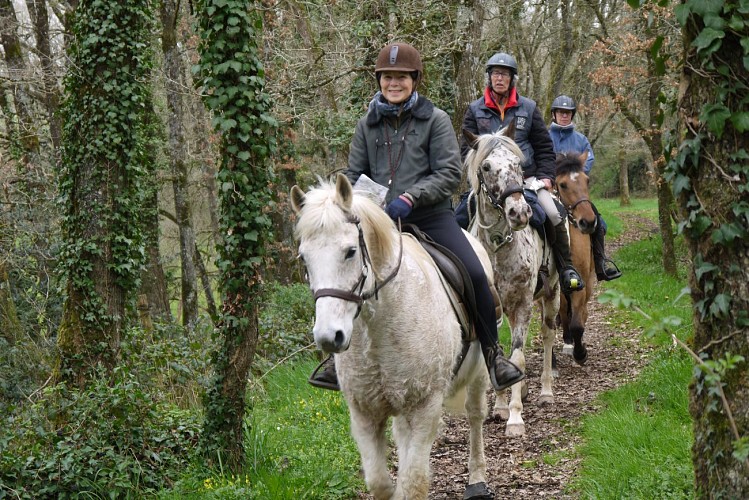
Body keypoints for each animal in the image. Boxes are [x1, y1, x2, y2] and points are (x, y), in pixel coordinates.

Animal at [290, 174, 495, 500]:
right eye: (304, 258)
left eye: (350, 251)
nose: (329, 337)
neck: (378, 329)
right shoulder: (364, 413)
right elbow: (380, 482)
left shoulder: (424, 408)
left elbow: (413, 483)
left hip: (478, 373)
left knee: (475, 415)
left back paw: (477, 480)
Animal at [463, 126, 560, 437]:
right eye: (486, 167)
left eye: (518, 163)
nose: (518, 213)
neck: (497, 247)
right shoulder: (491, 309)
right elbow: (498, 354)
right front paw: (501, 407)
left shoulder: (523, 304)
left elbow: (517, 357)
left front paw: (515, 418)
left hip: (552, 295)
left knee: (547, 336)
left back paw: (545, 392)